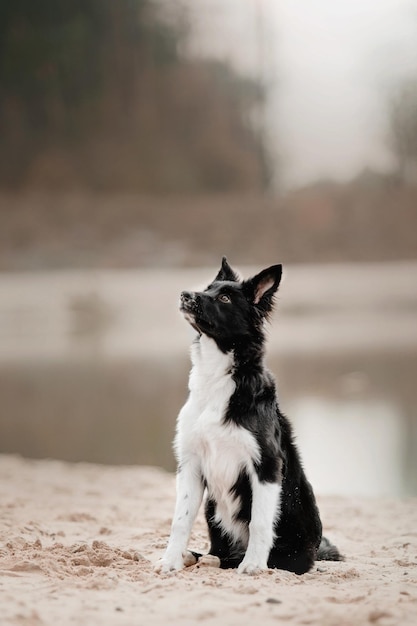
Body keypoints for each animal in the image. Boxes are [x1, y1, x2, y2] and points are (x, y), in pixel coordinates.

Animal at [154, 256, 340, 572]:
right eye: (208, 288)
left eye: (225, 298)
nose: (185, 295)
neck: (219, 375)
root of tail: (316, 550)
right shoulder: (190, 463)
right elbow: (180, 521)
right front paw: (170, 561)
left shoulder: (265, 464)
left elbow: (259, 522)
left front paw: (253, 565)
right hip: (212, 505)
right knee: (219, 551)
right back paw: (197, 557)